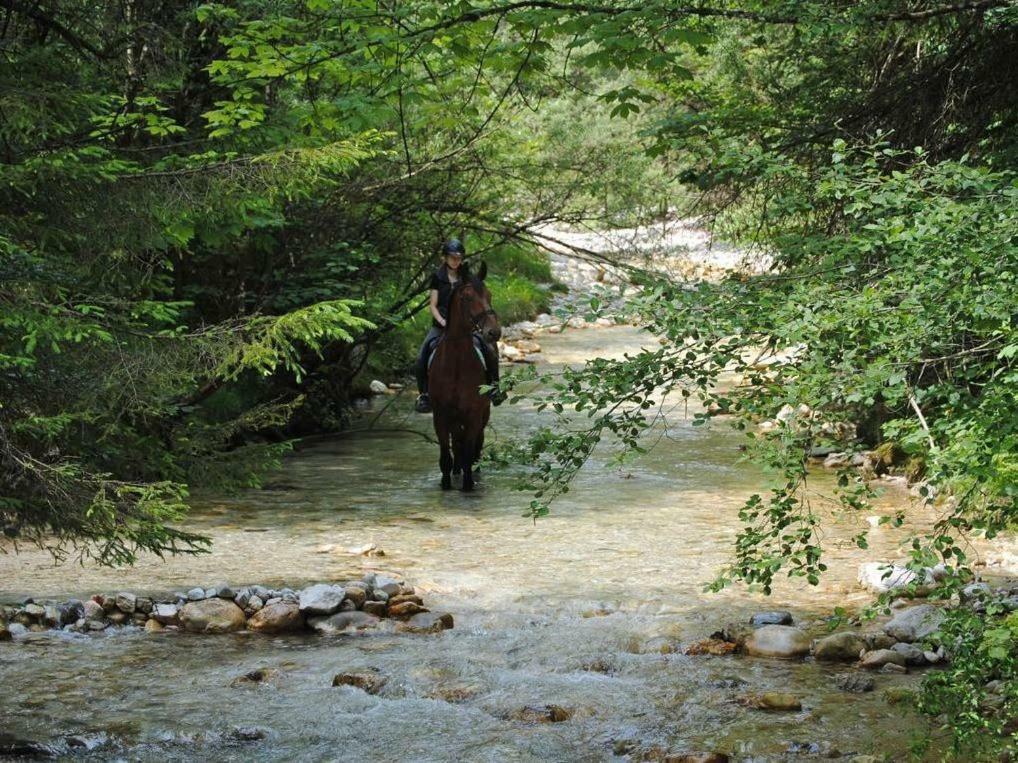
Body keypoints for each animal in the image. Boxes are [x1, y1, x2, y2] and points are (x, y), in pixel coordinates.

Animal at [425, 260, 500, 492]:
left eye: (490, 294)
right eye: (467, 297)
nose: (494, 332)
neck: (456, 364)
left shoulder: (473, 414)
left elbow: (468, 452)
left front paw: (468, 485)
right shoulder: (440, 416)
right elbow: (445, 455)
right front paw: (446, 483)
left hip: (482, 414)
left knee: (475, 445)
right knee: (456, 445)